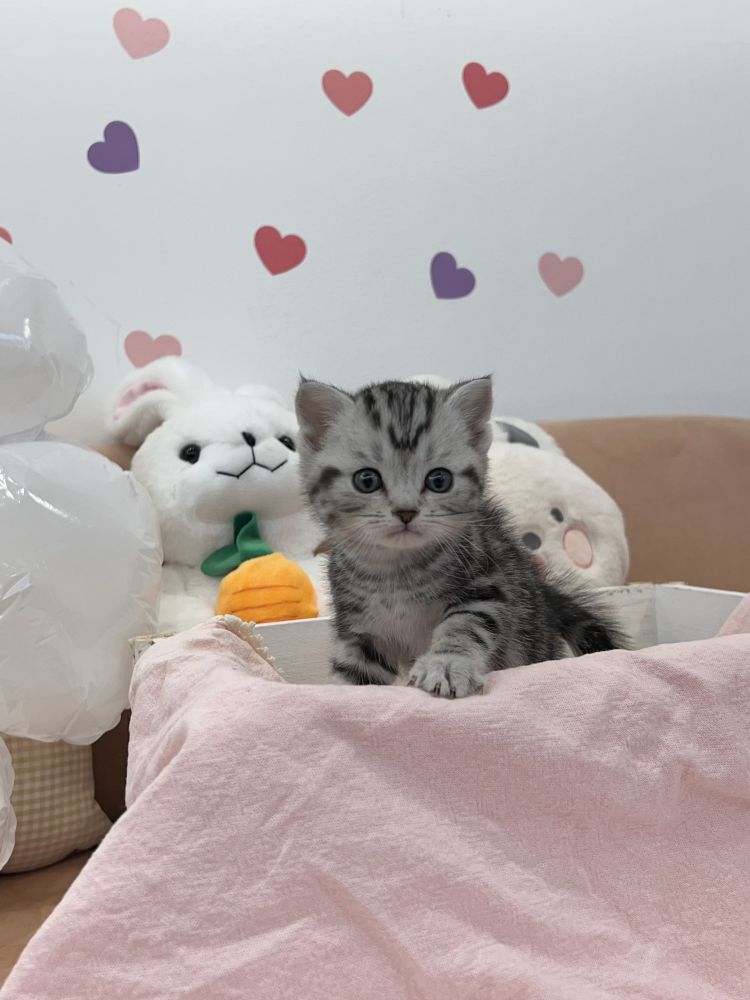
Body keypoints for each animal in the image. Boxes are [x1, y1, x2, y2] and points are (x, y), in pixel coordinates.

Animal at [295, 375, 623, 698]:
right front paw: (338, 696)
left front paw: (446, 664)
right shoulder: (360, 628)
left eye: (439, 480)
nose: (405, 511)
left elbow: (464, 624)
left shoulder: (487, 584)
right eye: (366, 480)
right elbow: (356, 673)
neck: (394, 571)